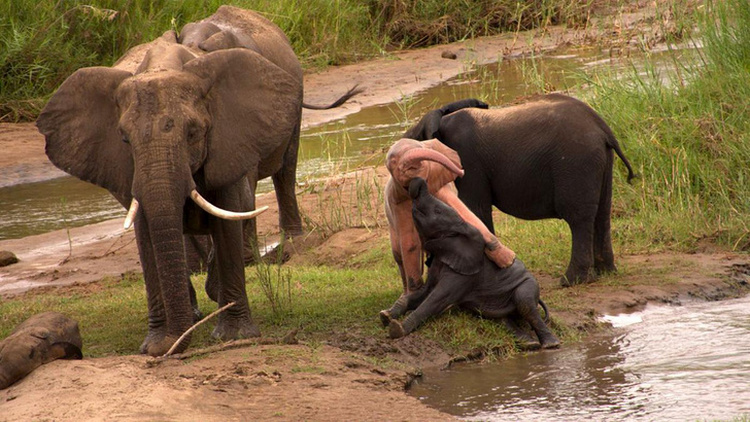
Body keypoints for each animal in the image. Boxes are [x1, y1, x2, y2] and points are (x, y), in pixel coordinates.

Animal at [36, 6, 358, 356]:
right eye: (124, 139)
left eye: (193, 133)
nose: (168, 348)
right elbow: (147, 232)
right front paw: (156, 343)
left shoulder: (232, 131)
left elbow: (229, 212)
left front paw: (233, 334)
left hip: (292, 106)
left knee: (284, 170)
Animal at [380, 138, 516, 323]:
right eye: (392, 162)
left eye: (421, 148)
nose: (462, 171)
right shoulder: (397, 201)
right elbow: (410, 244)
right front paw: (408, 302)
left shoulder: (441, 186)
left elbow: (466, 215)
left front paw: (508, 262)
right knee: (399, 256)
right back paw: (392, 309)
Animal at [384, 178, 560, 350]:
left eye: (438, 211)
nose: (417, 180)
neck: (463, 227)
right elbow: (424, 292)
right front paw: (386, 315)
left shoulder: (464, 276)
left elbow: (436, 299)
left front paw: (397, 329)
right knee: (501, 318)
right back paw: (529, 344)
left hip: (529, 285)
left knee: (525, 303)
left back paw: (551, 344)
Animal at [406, 95, 636, 286]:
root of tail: (603, 128)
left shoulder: (467, 161)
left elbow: (475, 210)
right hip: (600, 161)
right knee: (602, 213)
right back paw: (606, 272)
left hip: (576, 162)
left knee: (578, 218)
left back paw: (571, 281)